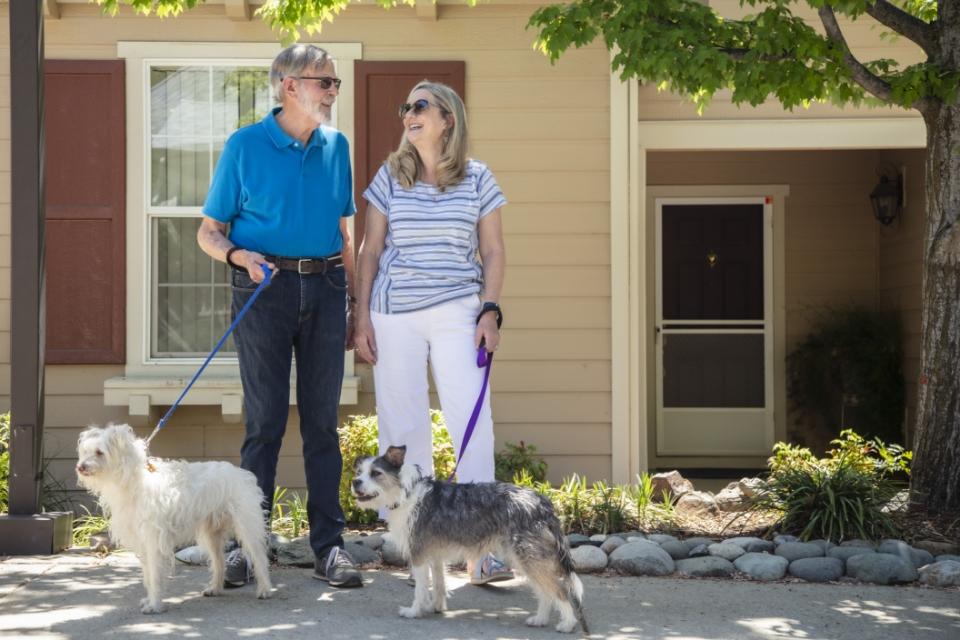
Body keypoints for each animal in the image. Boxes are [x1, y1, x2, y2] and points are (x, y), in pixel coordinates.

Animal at [76, 422, 272, 612]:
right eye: (85, 451)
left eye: (99, 452)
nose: (80, 467)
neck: (133, 481)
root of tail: (241, 473)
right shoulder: (143, 543)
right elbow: (148, 575)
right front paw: (150, 600)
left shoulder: (153, 540)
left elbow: (154, 575)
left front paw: (154, 605)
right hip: (212, 535)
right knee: (219, 562)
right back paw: (215, 588)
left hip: (247, 527)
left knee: (259, 558)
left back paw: (265, 589)